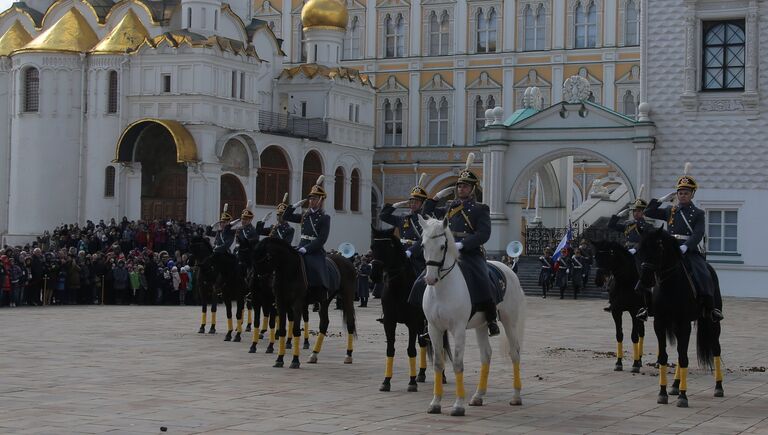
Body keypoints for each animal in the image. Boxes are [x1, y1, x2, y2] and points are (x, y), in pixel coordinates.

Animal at [254, 237, 358, 370]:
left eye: (266, 258)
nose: (258, 281)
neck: (290, 271)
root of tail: (348, 262)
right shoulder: (280, 303)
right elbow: (282, 330)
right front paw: (279, 359)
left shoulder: (297, 303)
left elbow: (296, 330)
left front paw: (295, 360)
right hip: (325, 300)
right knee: (324, 323)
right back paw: (314, 354)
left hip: (347, 297)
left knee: (350, 322)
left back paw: (348, 355)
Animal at [372, 230, 432, 394]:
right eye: (372, 246)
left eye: (388, 247)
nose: (374, 274)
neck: (398, 287)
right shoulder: (389, 322)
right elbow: (390, 349)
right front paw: (386, 381)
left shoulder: (411, 323)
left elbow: (411, 350)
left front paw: (411, 382)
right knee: (423, 342)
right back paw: (421, 373)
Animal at [416, 216, 524, 418]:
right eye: (423, 245)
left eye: (442, 246)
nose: (430, 279)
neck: (442, 289)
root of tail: (508, 270)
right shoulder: (434, 329)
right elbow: (438, 363)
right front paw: (435, 403)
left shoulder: (458, 329)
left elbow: (458, 364)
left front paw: (458, 405)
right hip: (482, 325)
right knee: (486, 355)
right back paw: (478, 396)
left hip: (510, 322)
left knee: (515, 353)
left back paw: (516, 396)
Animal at [592, 240, 644, 372]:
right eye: (595, 257)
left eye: (608, 256)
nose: (598, 280)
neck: (625, 282)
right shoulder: (616, 311)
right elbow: (619, 335)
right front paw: (619, 362)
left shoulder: (634, 311)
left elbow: (634, 336)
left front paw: (635, 364)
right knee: (642, 332)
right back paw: (640, 359)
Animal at [632, 228, 724, 408]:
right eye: (640, 250)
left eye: (658, 249)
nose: (643, 284)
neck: (670, 285)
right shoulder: (660, 323)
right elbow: (665, 356)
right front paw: (663, 393)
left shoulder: (684, 323)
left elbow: (683, 357)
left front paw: (683, 396)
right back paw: (675, 385)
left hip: (712, 322)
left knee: (716, 349)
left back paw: (718, 387)